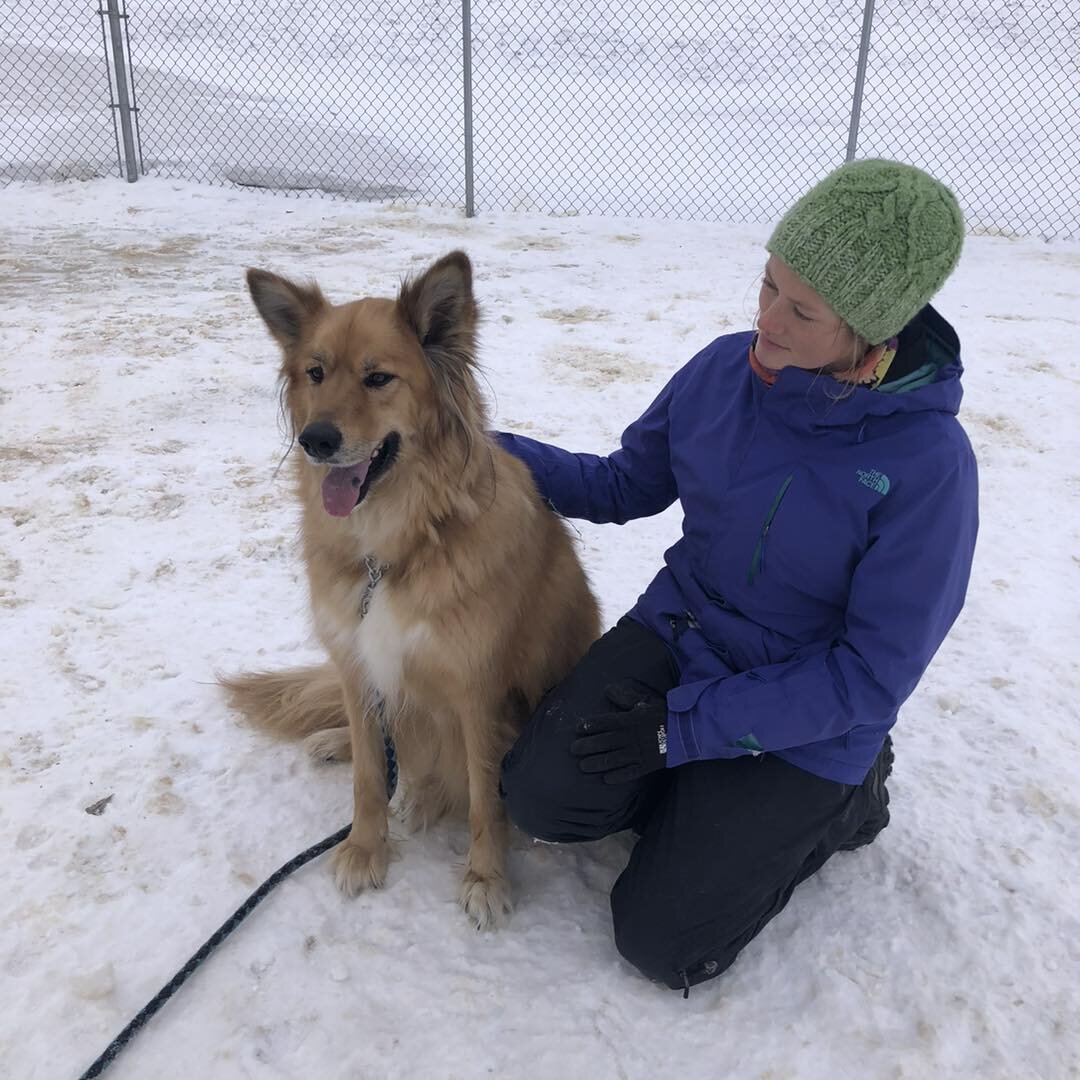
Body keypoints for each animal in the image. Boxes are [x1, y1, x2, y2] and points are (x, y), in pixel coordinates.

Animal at [221, 252, 600, 928]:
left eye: (378, 379)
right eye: (315, 373)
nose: (316, 440)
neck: (391, 551)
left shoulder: (477, 689)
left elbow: (483, 797)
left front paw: (485, 878)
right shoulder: (358, 663)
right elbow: (371, 778)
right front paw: (363, 849)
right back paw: (344, 746)